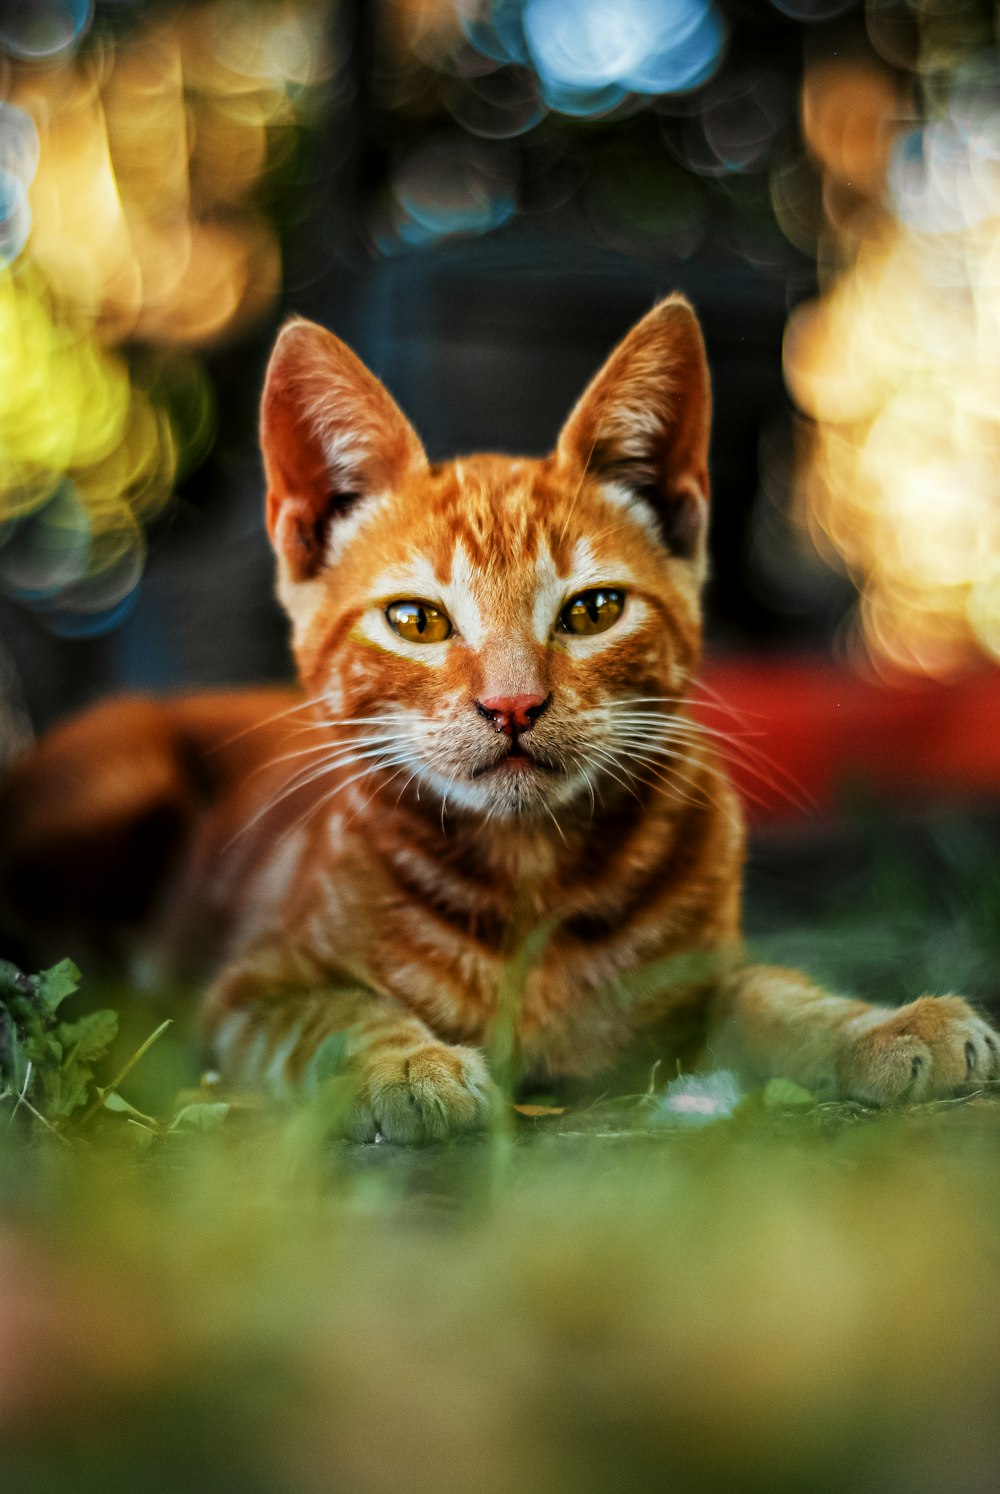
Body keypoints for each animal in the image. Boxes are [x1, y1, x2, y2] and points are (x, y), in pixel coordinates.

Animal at [0, 303, 992, 1141]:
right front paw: (407, 1064)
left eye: (593, 610)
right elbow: (335, 1014)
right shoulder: (252, 991)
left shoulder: (698, 979)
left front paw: (883, 1024)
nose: (513, 704)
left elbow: (773, 991)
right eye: (416, 620)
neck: (530, 877)